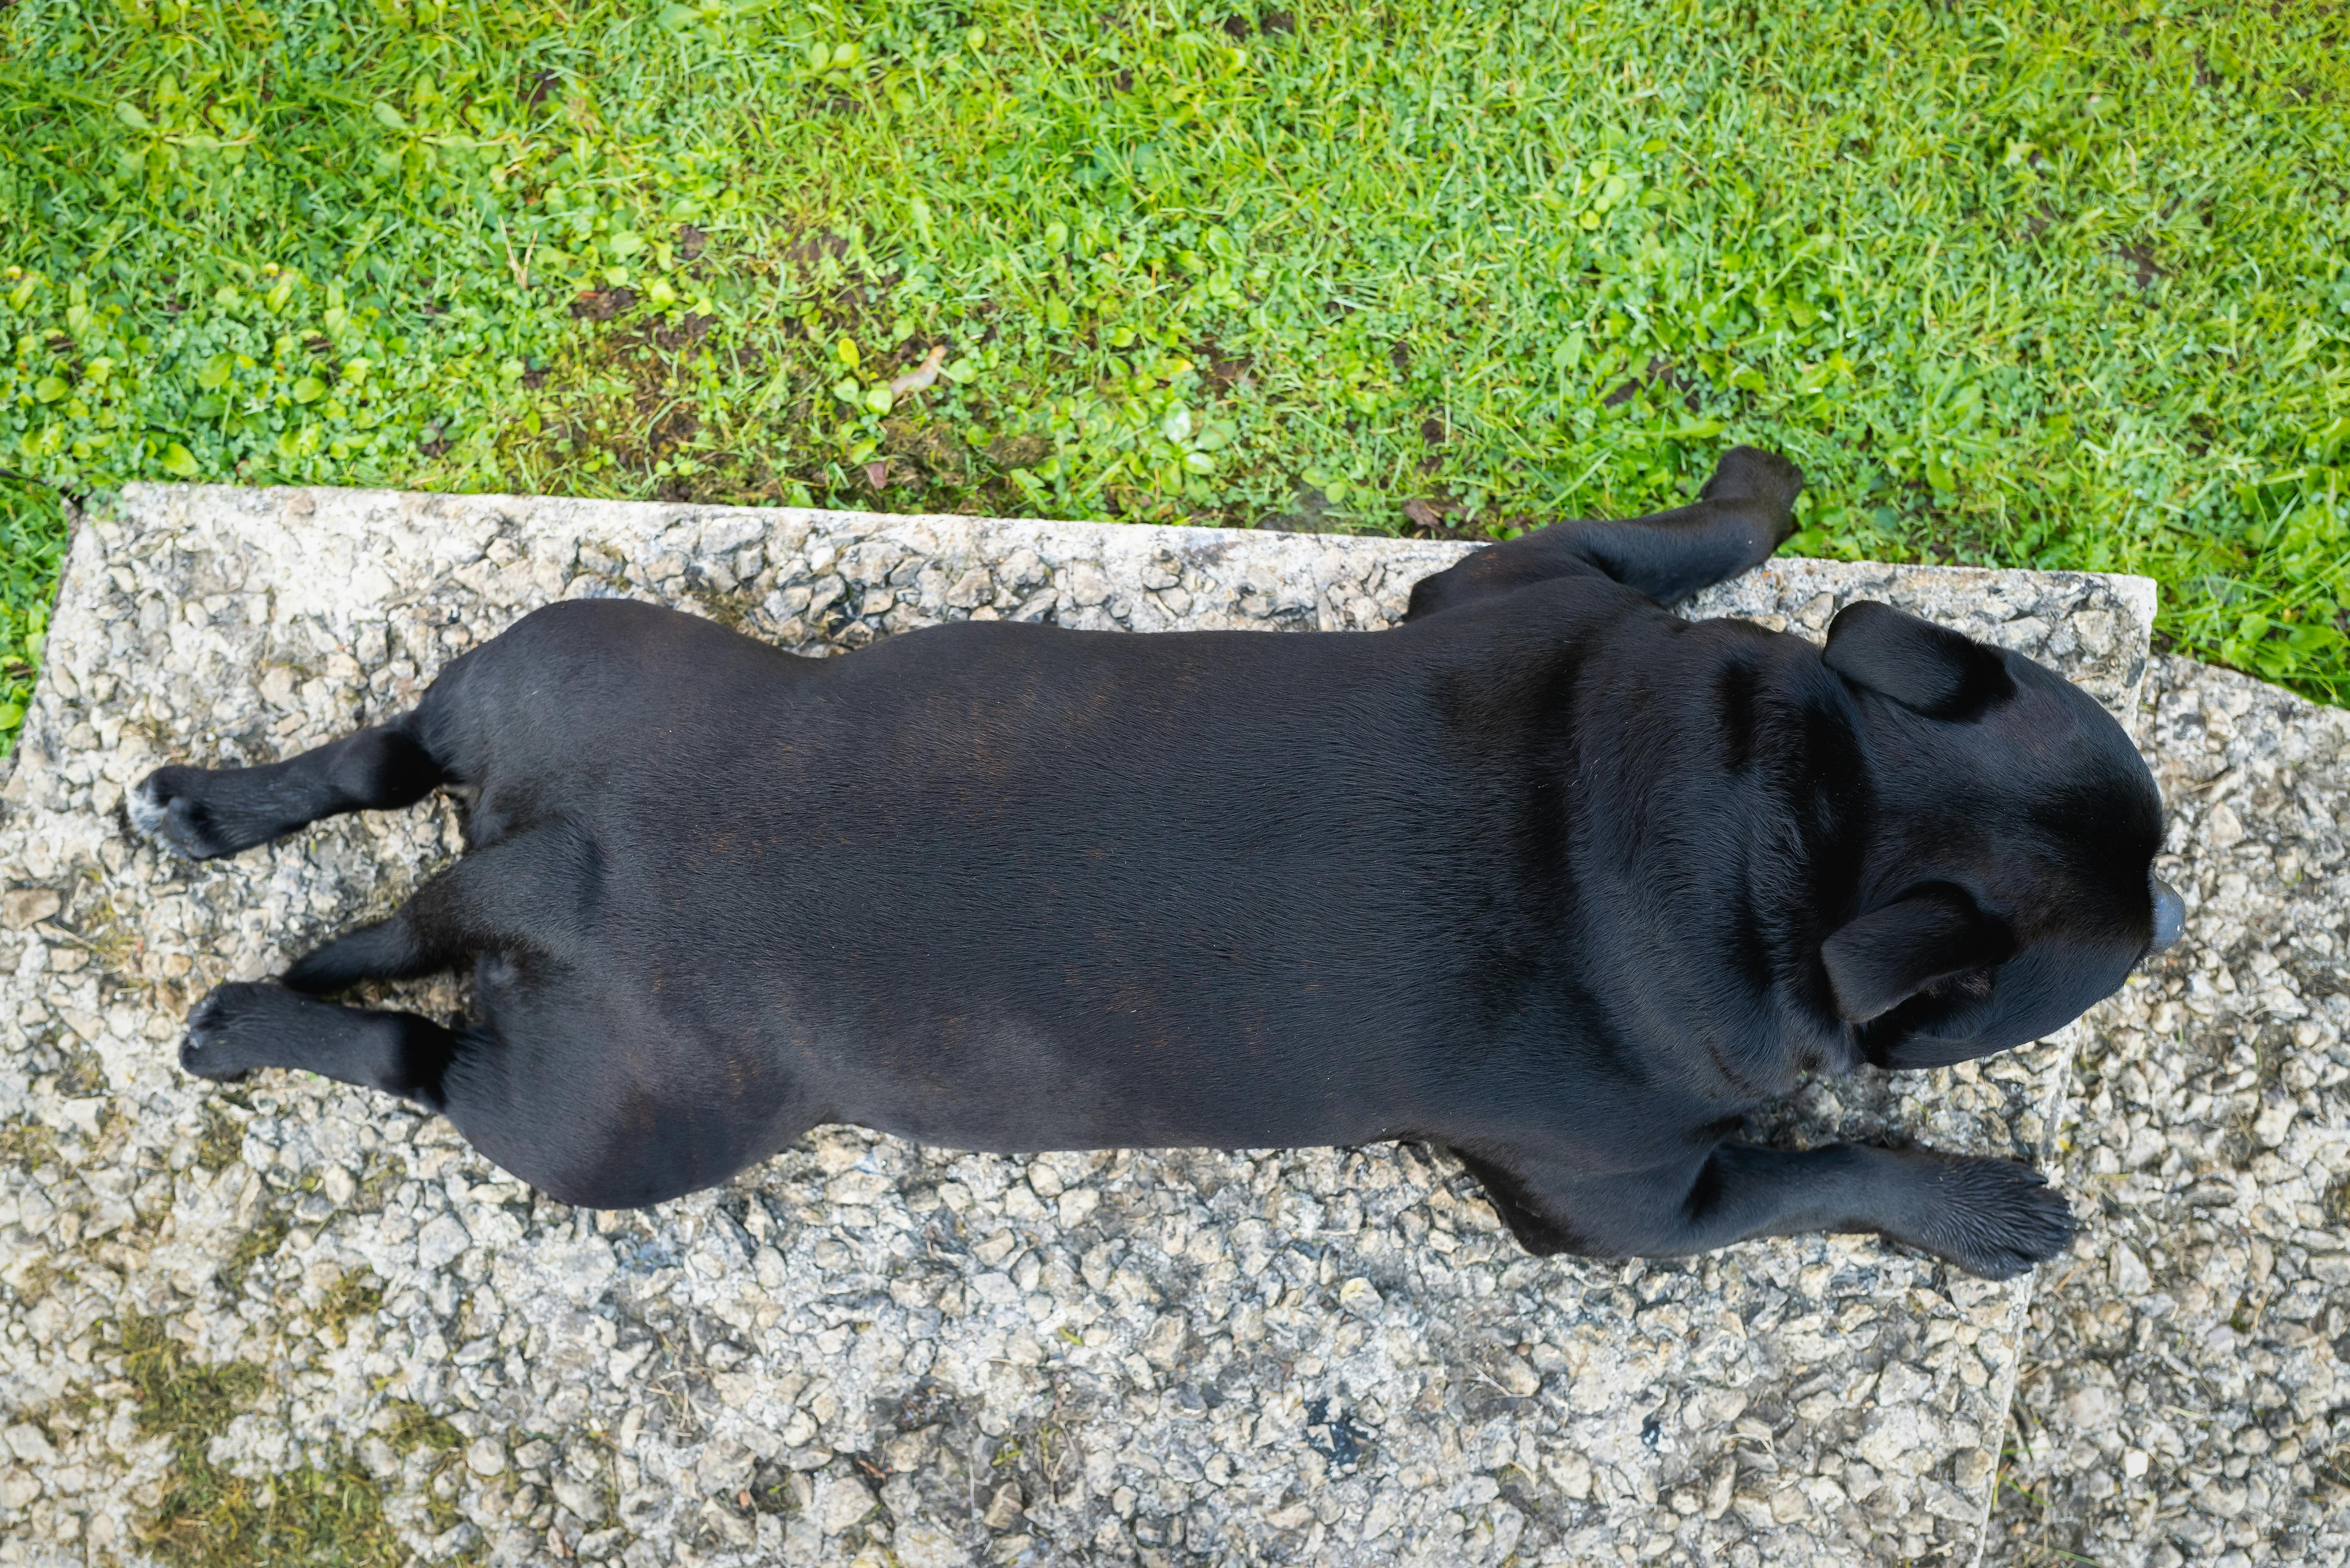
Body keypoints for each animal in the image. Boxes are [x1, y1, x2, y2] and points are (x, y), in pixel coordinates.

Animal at [129, 446, 2181, 1279]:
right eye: (2110, 956)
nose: (2173, 902)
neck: (1773, 810)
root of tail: (557, 873)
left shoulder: (1530, 588)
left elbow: (1667, 534)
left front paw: (1752, 495)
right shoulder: (1634, 1211)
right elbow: (1822, 1173)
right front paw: (1979, 1208)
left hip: (556, 668)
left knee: (382, 767)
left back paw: (208, 813)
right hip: (609, 1126)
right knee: (401, 1046)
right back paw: (249, 1024)